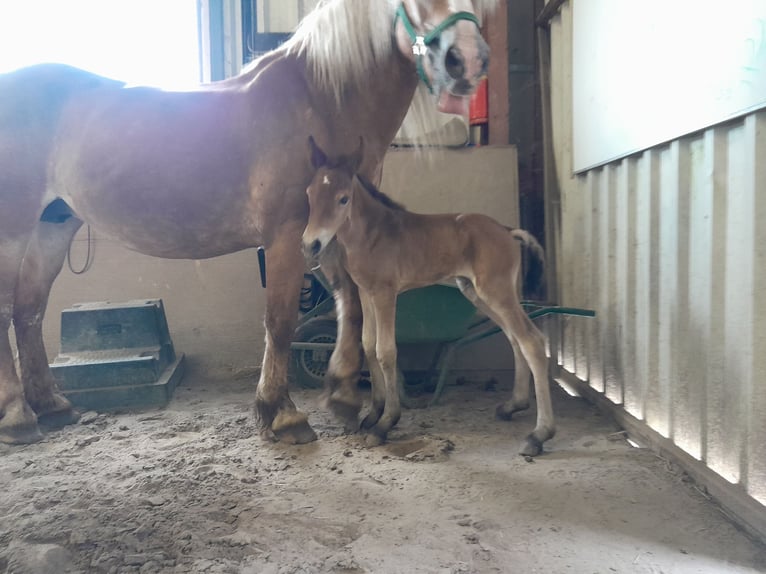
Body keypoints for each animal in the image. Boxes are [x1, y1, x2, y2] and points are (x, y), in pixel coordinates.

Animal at [0, 0, 497, 445]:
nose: (467, 59)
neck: (318, 99)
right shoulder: (289, 237)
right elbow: (280, 321)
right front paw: (282, 414)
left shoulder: (333, 235)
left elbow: (350, 308)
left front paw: (343, 396)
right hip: (15, 230)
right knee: (9, 311)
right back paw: (19, 419)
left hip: (53, 225)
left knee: (29, 311)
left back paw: (53, 407)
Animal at [302, 137, 553, 456]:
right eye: (310, 194)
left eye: (343, 198)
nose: (311, 244)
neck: (373, 234)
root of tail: (508, 231)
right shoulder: (366, 292)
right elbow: (368, 345)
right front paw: (373, 414)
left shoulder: (385, 293)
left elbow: (386, 351)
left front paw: (386, 423)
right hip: (477, 292)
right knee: (514, 338)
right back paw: (513, 406)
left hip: (496, 291)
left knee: (532, 341)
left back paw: (539, 434)